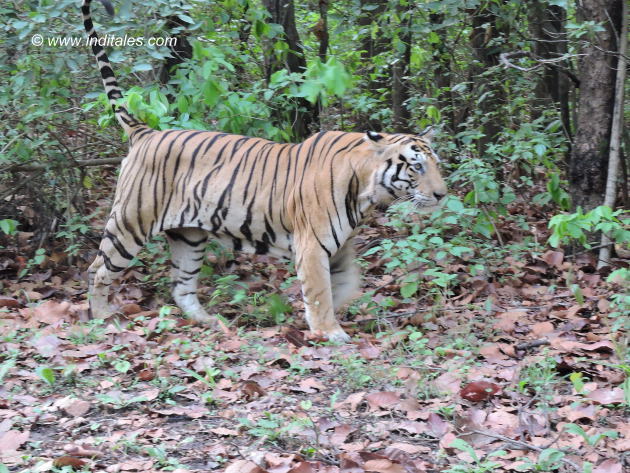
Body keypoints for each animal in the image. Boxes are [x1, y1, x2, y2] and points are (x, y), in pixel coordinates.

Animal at [82, 0, 450, 340]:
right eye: (417, 166)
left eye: (436, 165)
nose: (442, 195)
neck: (363, 191)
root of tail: (145, 132)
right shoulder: (311, 245)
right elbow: (320, 292)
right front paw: (329, 332)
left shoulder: (340, 245)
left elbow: (345, 282)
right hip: (130, 222)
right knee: (98, 269)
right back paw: (102, 319)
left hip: (189, 235)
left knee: (182, 285)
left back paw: (209, 322)